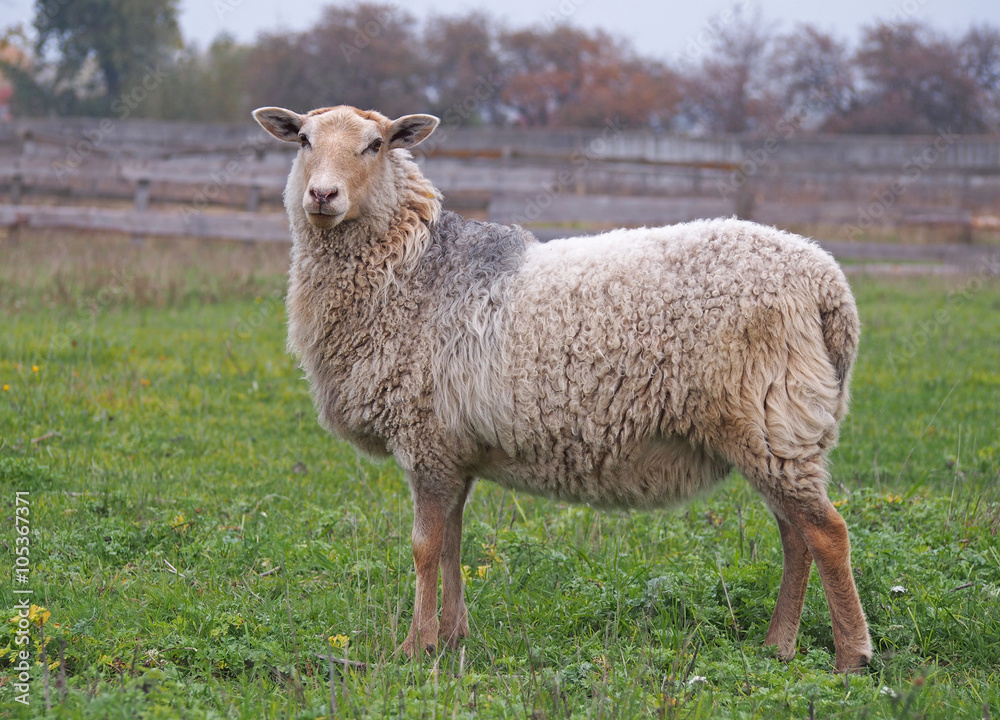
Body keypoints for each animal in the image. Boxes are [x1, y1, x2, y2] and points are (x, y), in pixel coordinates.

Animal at [254, 104, 872, 672]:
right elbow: (453, 543)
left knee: (827, 533)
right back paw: (779, 647)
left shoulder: (426, 438)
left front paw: (415, 648)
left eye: (375, 145)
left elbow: (424, 548)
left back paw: (851, 658)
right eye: (303, 139)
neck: (413, 270)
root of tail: (827, 284)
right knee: (796, 536)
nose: (322, 195)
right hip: (776, 429)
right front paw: (454, 638)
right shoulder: (454, 450)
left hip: (771, 416)